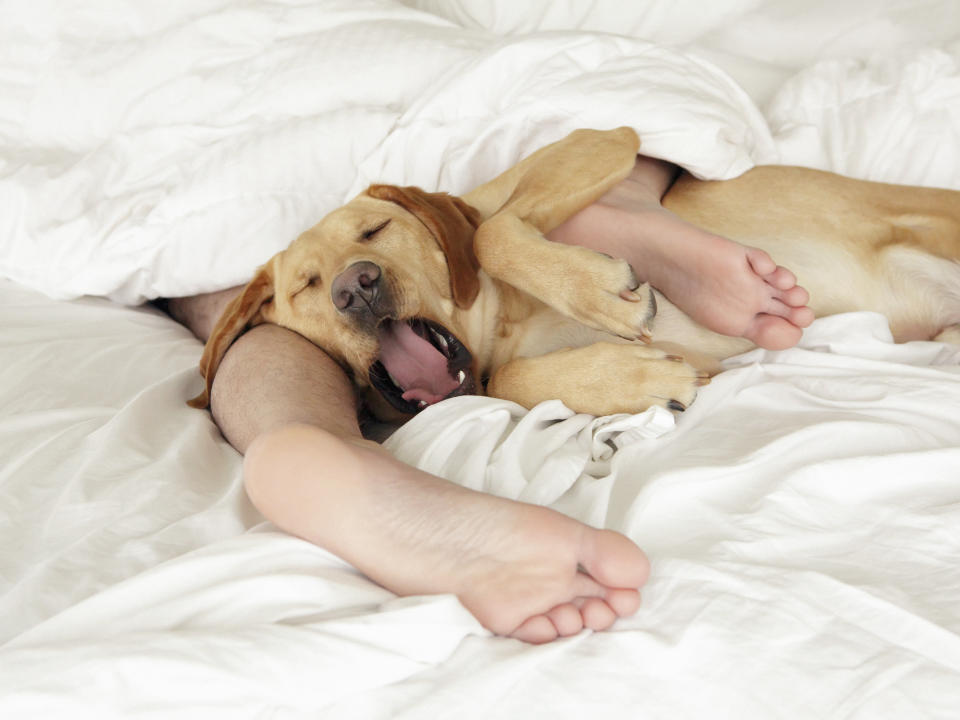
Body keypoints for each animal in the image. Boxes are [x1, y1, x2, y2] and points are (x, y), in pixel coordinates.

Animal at [188, 129, 960, 422]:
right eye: (306, 286)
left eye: (374, 232)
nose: (357, 287)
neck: (498, 325)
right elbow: (507, 380)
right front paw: (634, 378)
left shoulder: (596, 139)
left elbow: (493, 231)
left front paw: (606, 298)